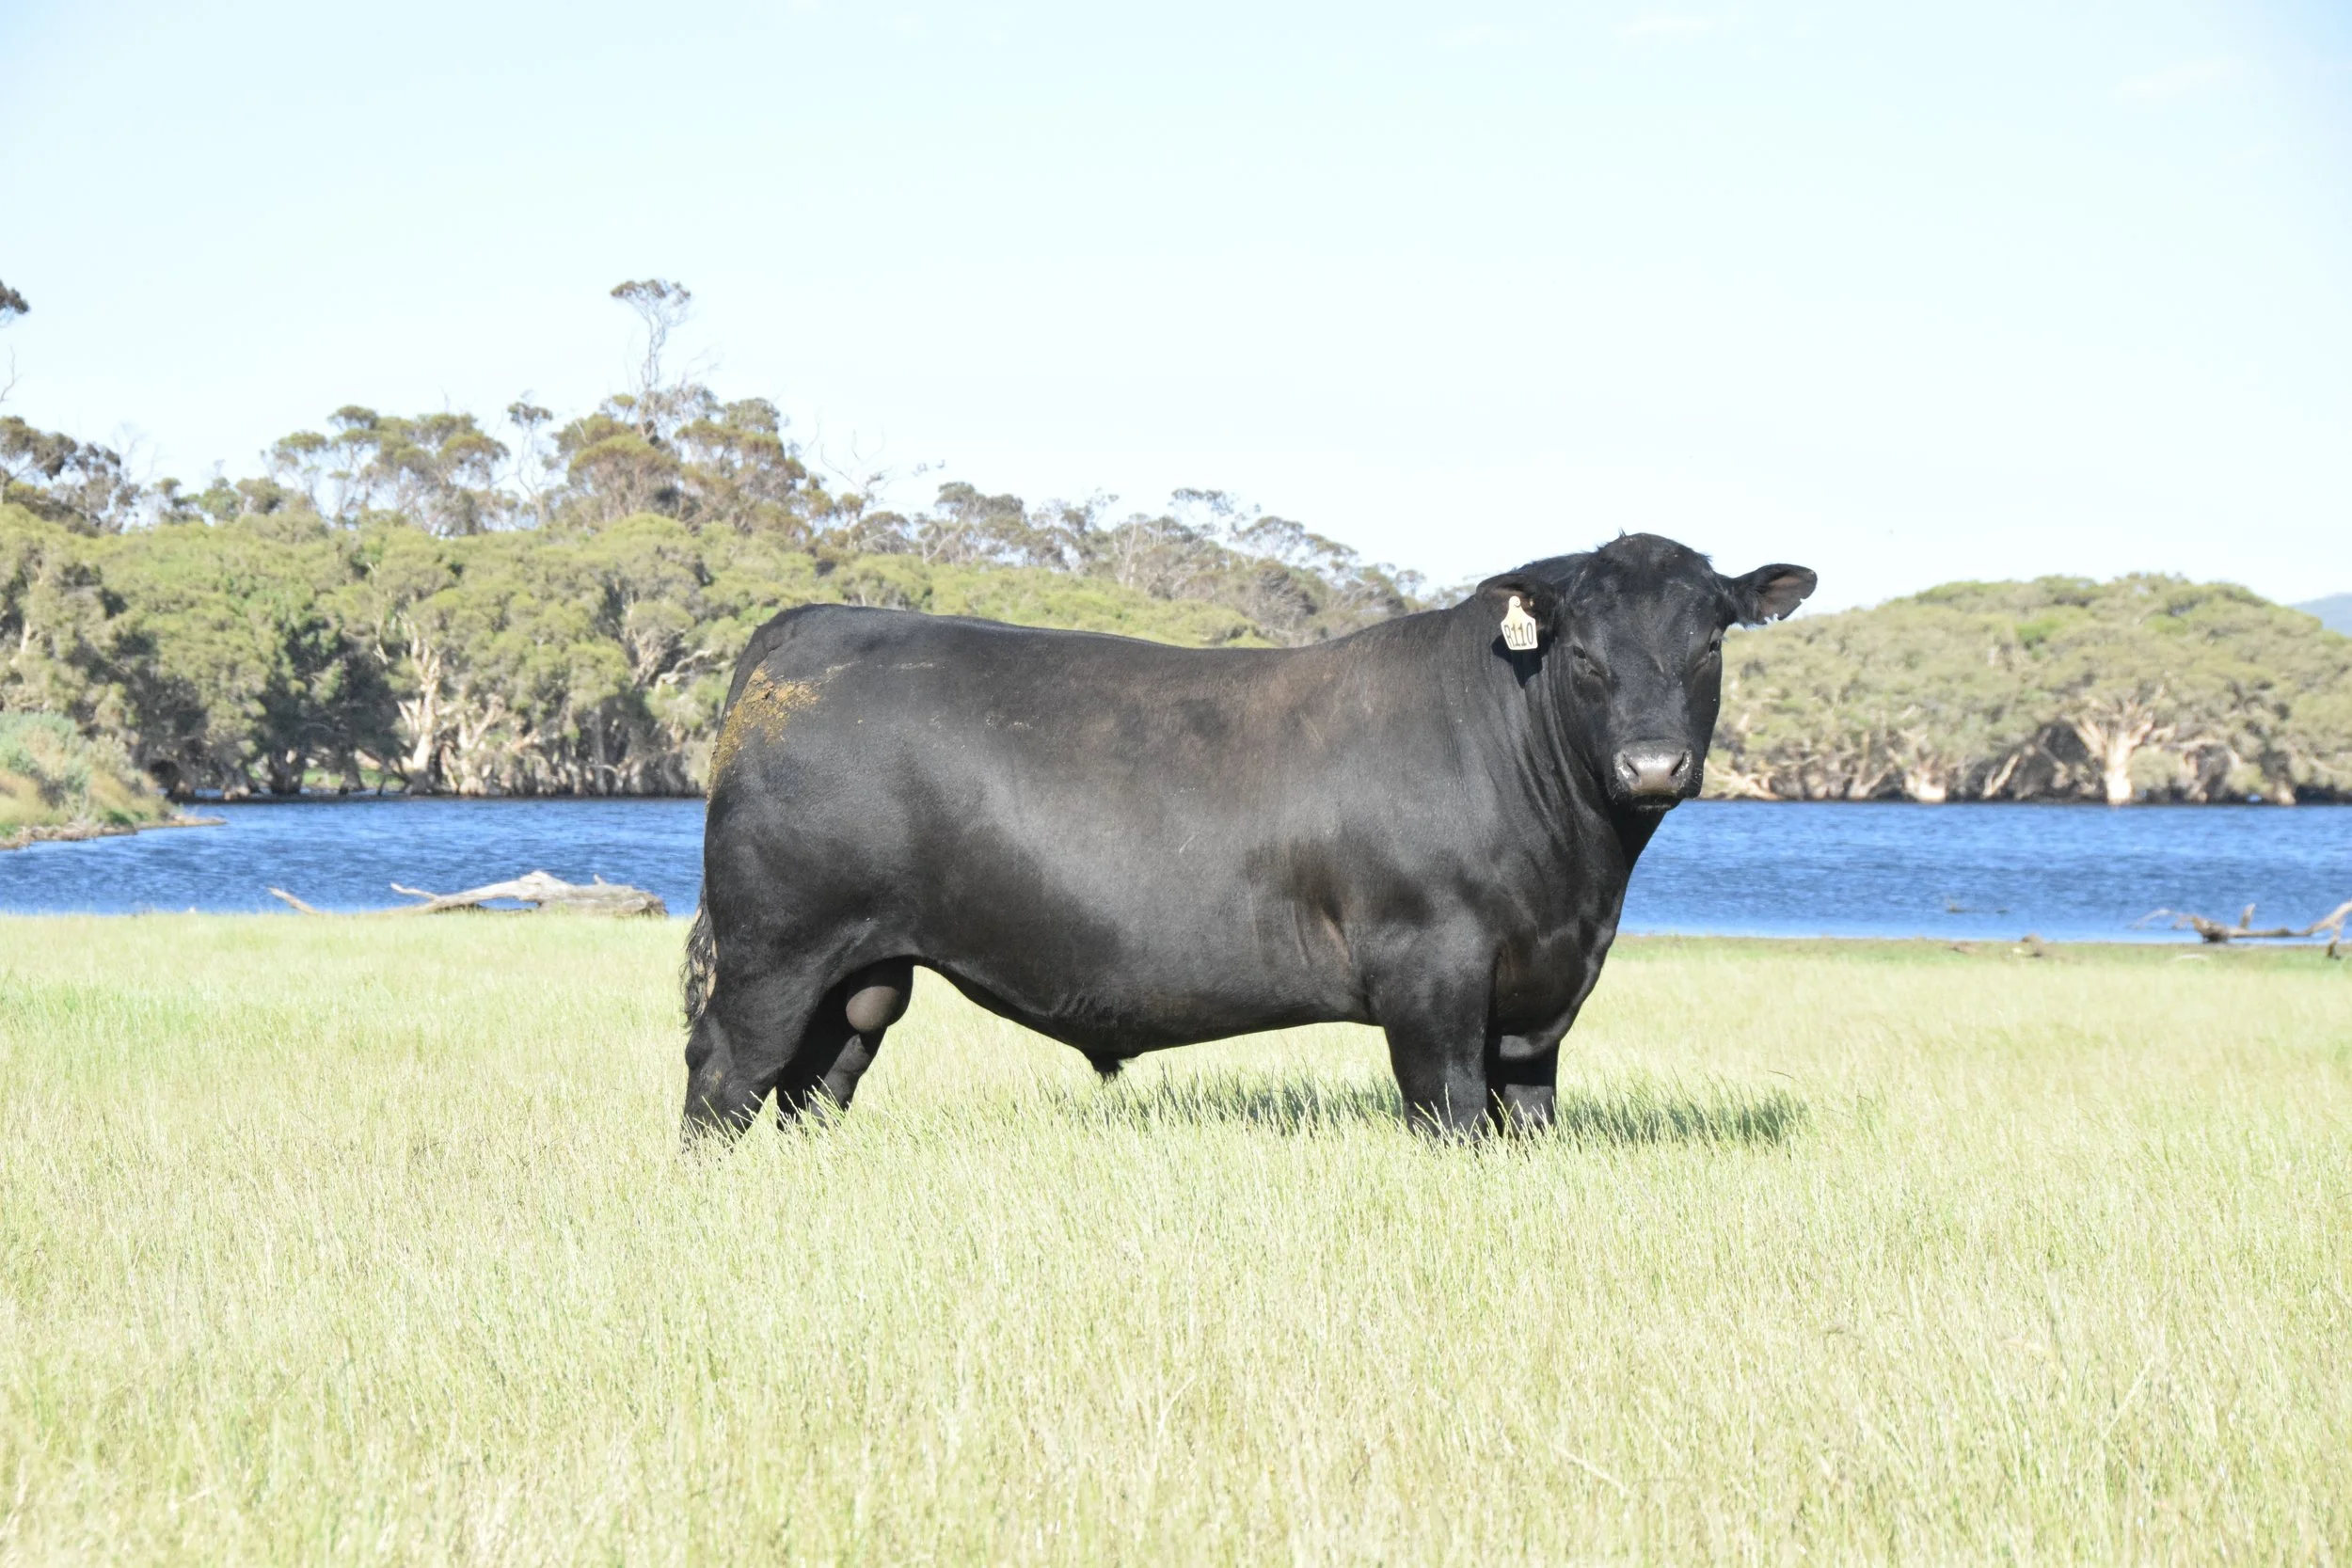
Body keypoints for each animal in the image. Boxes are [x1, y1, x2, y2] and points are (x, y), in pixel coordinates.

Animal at [681, 532, 1814, 1139]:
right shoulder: (1432, 972)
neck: (1579, 880)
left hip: (865, 968)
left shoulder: (1541, 997)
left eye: (1709, 644)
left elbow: (1523, 1121)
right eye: (1582, 653)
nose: (1652, 766)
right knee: (724, 1075)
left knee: (815, 1083)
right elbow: (1447, 1112)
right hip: (774, 946)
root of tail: (808, 624)